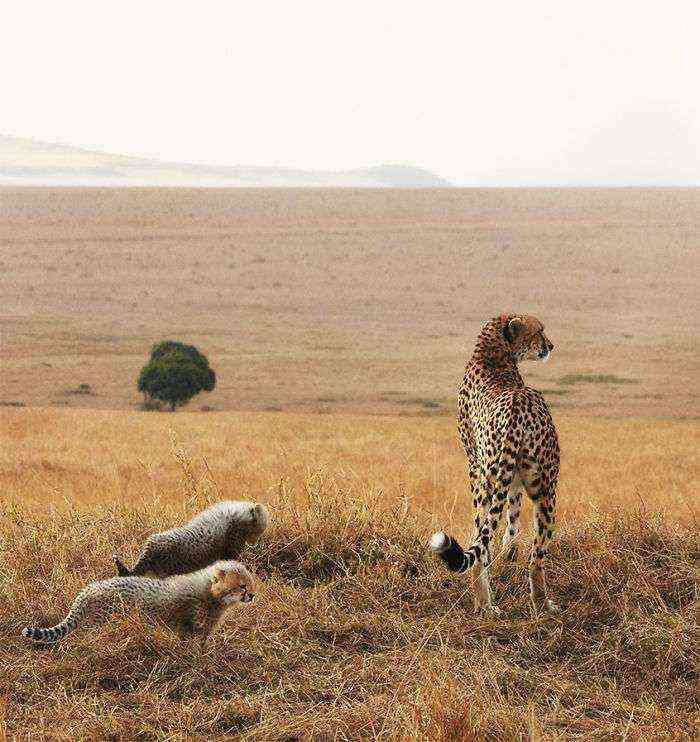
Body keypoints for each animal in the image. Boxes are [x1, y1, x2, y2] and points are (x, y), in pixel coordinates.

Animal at [429, 313, 561, 616]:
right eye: (539, 331)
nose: (550, 345)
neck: (492, 354)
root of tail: (518, 406)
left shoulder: (486, 473)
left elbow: (502, 530)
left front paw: (506, 554)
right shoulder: (504, 479)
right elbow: (513, 521)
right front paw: (509, 553)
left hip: (491, 481)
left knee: (483, 543)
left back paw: (485, 604)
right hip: (546, 488)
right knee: (536, 557)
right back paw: (542, 604)